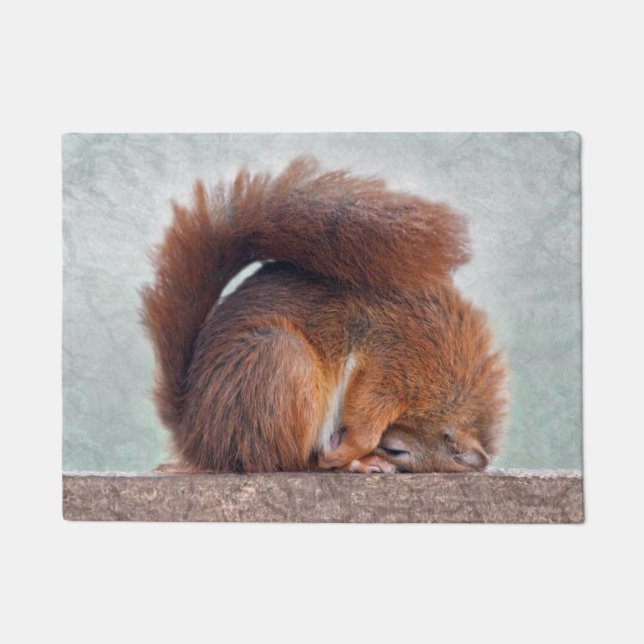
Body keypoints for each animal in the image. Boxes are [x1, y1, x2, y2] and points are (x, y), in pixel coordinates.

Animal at [141, 157, 508, 474]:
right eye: (397, 450)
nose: (386, 452)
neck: (450, 386)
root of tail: (197, 437)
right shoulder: (397, 360)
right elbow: (367, 411)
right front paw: (349, 450)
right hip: (279, 362)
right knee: (288, 462)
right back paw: (350, 462)